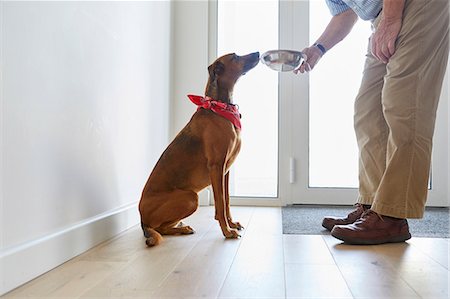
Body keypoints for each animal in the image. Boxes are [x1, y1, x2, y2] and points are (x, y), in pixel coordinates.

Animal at [138, 52, 260, 247]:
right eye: (235, 56)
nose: (257, 53)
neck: (219, 107)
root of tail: (142, 220)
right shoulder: (216, 167)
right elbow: (220, 203)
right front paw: (227, 231)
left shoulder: (226, 170)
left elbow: (226, 200)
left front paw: (232, 224)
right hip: (190, 197)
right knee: (160, 229)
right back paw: (180, 229)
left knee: (163, 227)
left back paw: (181, 226)